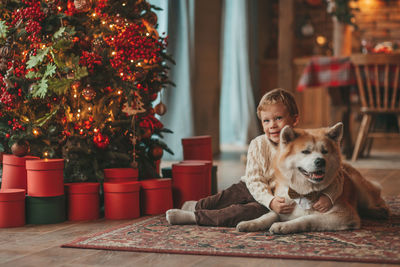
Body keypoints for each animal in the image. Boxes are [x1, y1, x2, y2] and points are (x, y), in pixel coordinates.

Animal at [236, 123, 390, 234]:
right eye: (305, 151)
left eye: (325, 151)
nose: (320, 161)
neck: (304, 192)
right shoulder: (282, 206)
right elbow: (268, 215)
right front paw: (250, 223)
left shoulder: (344, 214)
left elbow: (307, 218)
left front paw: (284, 226)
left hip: (360, 188)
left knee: (375, 200)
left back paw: (379, 211)